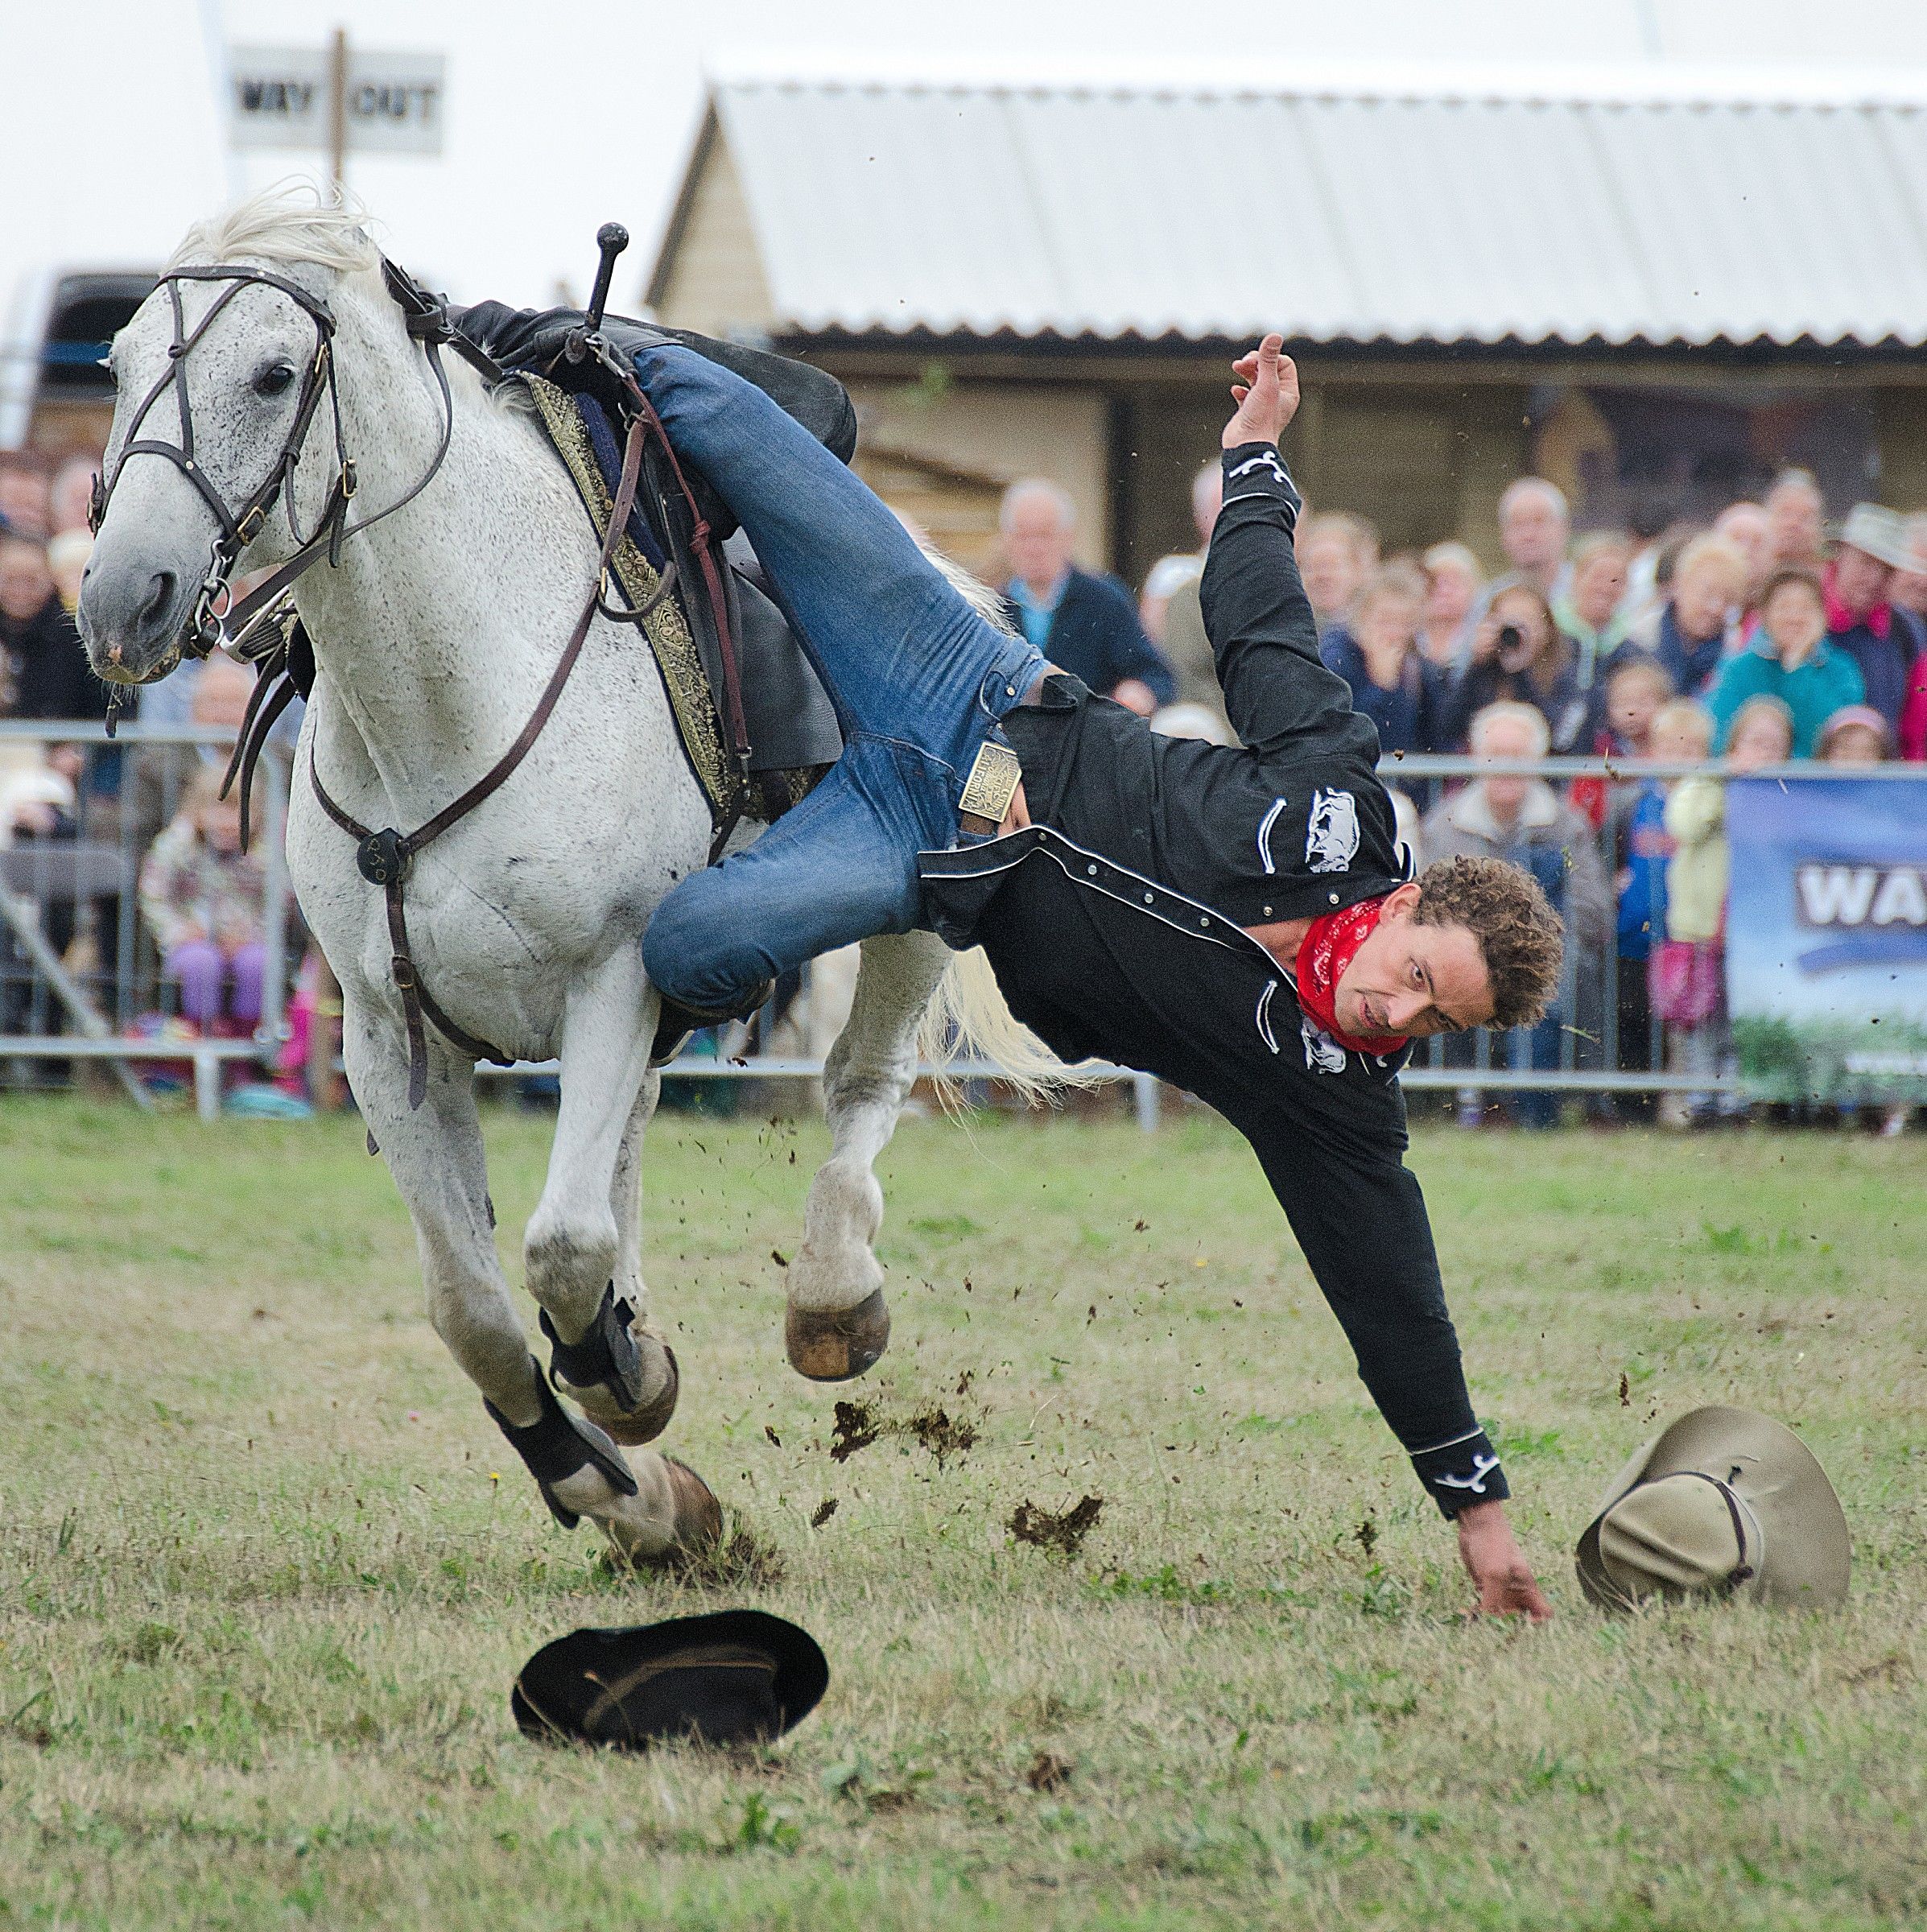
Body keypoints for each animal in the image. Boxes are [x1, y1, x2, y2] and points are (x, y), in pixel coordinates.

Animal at [77, 187, 1045, 1565]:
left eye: (271, 374)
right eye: (113, 369)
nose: (124, 599)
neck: (450, 693)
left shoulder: (609, 981)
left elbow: (564, 1250)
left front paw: (628, 1389)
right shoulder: (390, 1034)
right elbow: (476, 1308)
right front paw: (628, 1492)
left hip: (915, 880)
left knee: (861, 1083)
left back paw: (832, 1296)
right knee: (636, 1145)